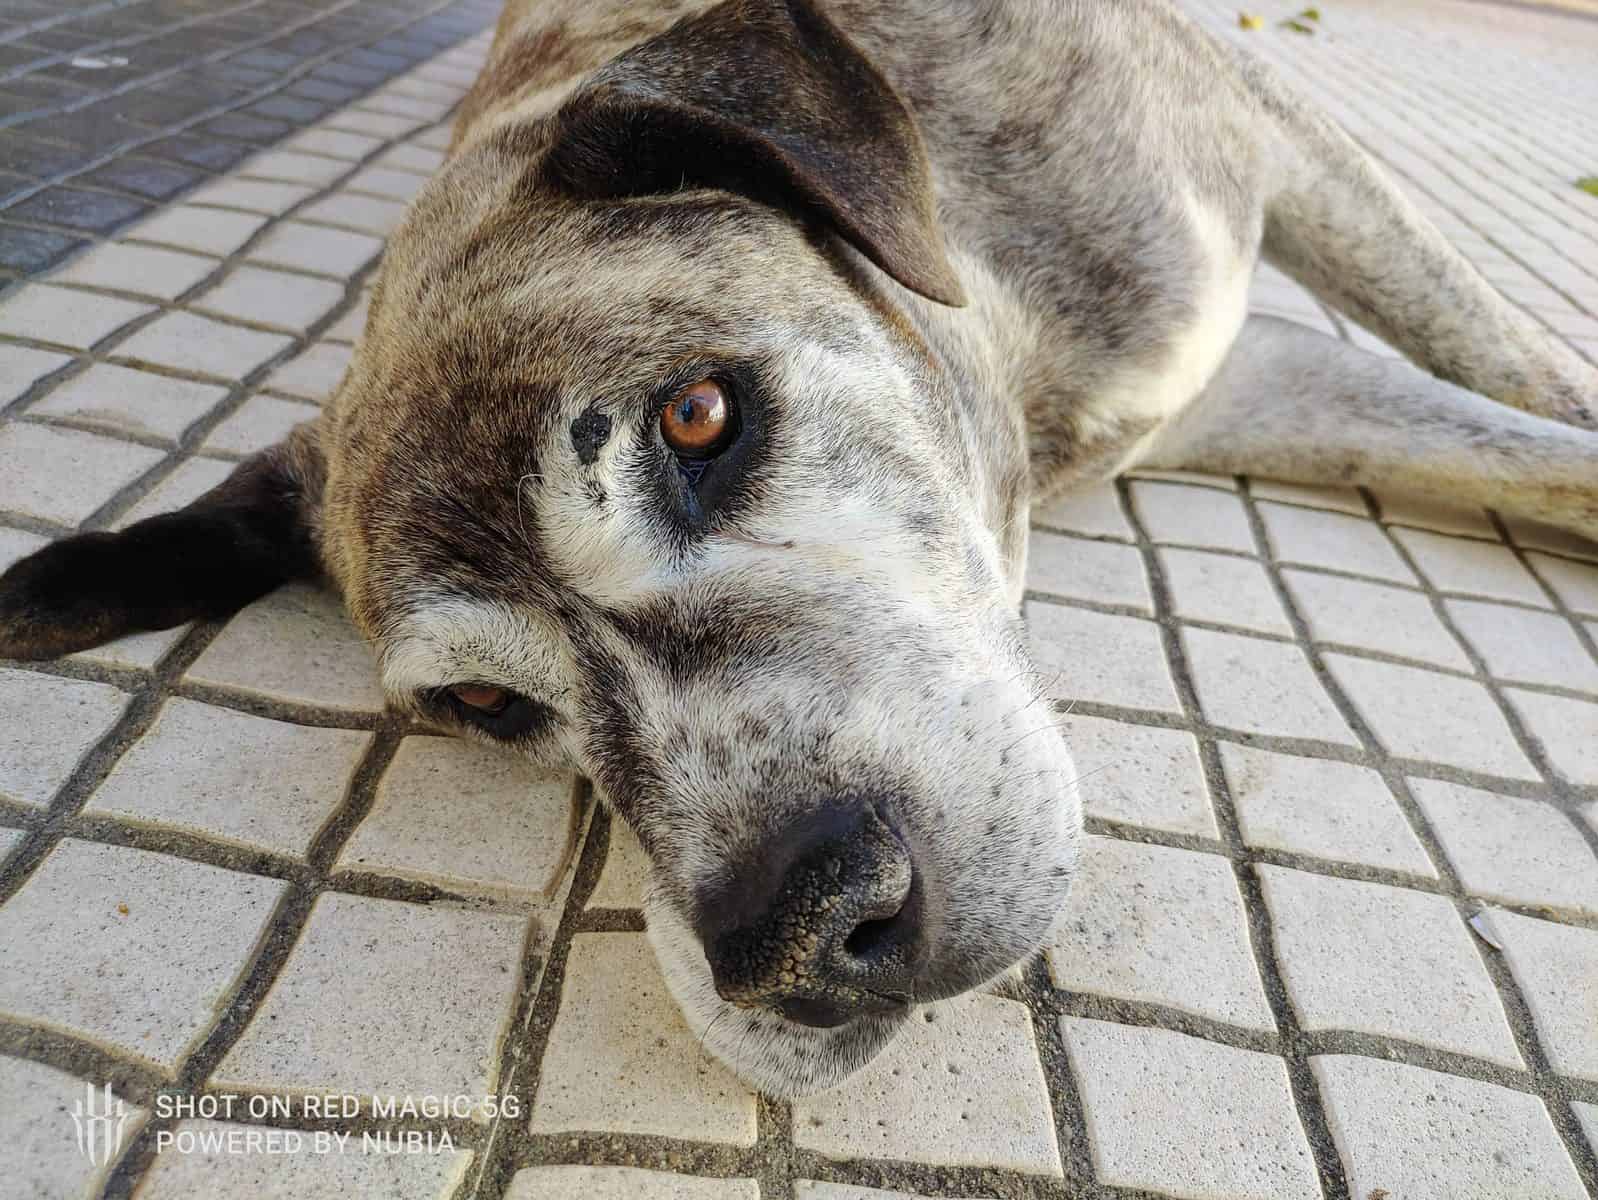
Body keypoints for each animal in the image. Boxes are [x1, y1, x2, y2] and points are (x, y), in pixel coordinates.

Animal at [3, 0, 1595, 1097]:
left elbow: (1523, 383)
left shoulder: (1266, 161)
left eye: (699, 415)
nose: (799, 939)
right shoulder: (1239, 383)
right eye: (483, 704)